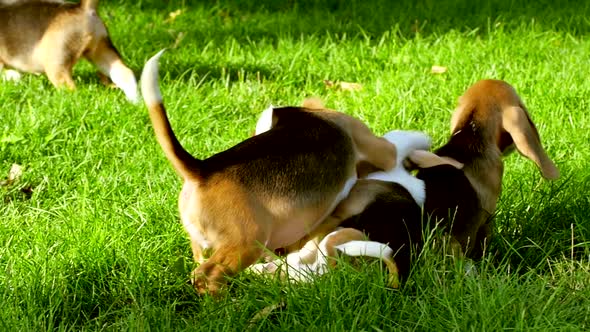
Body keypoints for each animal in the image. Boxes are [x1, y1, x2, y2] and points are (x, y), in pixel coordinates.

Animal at [0, 0, 138, 101]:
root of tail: (83, 8)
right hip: (102, 52)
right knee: (125, 73)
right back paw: (135, 102)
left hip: (56, 64)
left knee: (71, 89)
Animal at [139, 50, 432, 294]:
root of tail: (202, 170)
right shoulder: (382, 148)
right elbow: (402, 138)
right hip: (247, 242)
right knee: (208, 274)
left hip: (206, 242)